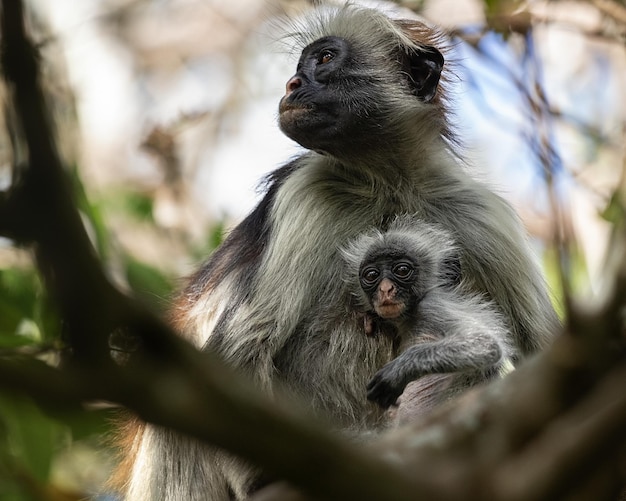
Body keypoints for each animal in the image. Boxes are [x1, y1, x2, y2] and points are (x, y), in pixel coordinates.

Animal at [342, 217, 512, 408]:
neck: (411, 315)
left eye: (402, 270)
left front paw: (397, 372)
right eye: (371, 275)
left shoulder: (432, 307)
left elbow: (486, 345)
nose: (385, 289)